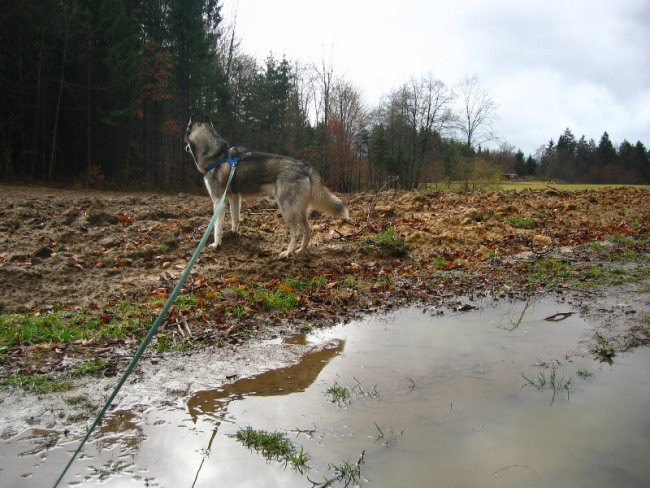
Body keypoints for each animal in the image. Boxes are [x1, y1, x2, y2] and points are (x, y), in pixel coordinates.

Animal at [185, 121, 346, 258]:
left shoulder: (218, 200)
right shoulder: (234, 197)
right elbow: (235, 219)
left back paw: (288, 253)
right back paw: (300, 251)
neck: (215, 153)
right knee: (307, 231)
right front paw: (233, 234)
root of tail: (304, 165)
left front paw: (216, 244)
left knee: (296, 233)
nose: (184, 147)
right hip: (299, 211)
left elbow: (216, 227)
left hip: (287, 210)